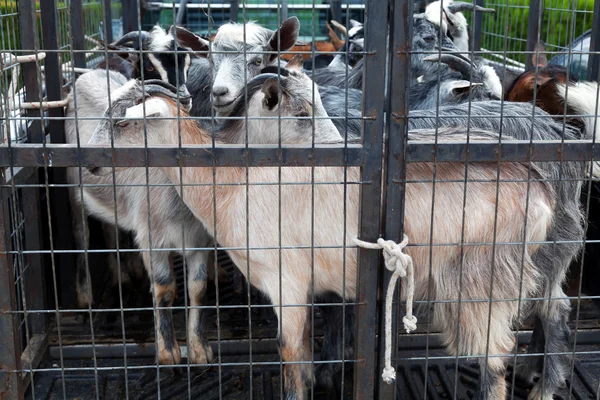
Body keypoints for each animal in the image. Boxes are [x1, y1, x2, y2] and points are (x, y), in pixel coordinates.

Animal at [65, 70, 214, 368]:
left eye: (122, 121)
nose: (88, 158)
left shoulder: (199, 240)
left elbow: (198, 288)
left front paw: (199, 350)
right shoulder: (151, 237)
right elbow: (164, 289)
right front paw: (168, 353)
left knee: (110, 229)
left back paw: (121, 278)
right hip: (75, 190)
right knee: (81, 235)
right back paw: (85, 299)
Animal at [88, 74, 556, 400]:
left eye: (121, 122)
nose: (91, 165)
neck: (231, 185)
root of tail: (540, 190)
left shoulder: (286, 283)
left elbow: (289, 354)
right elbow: (306, 355)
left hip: (482, 279)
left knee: (496, 356)